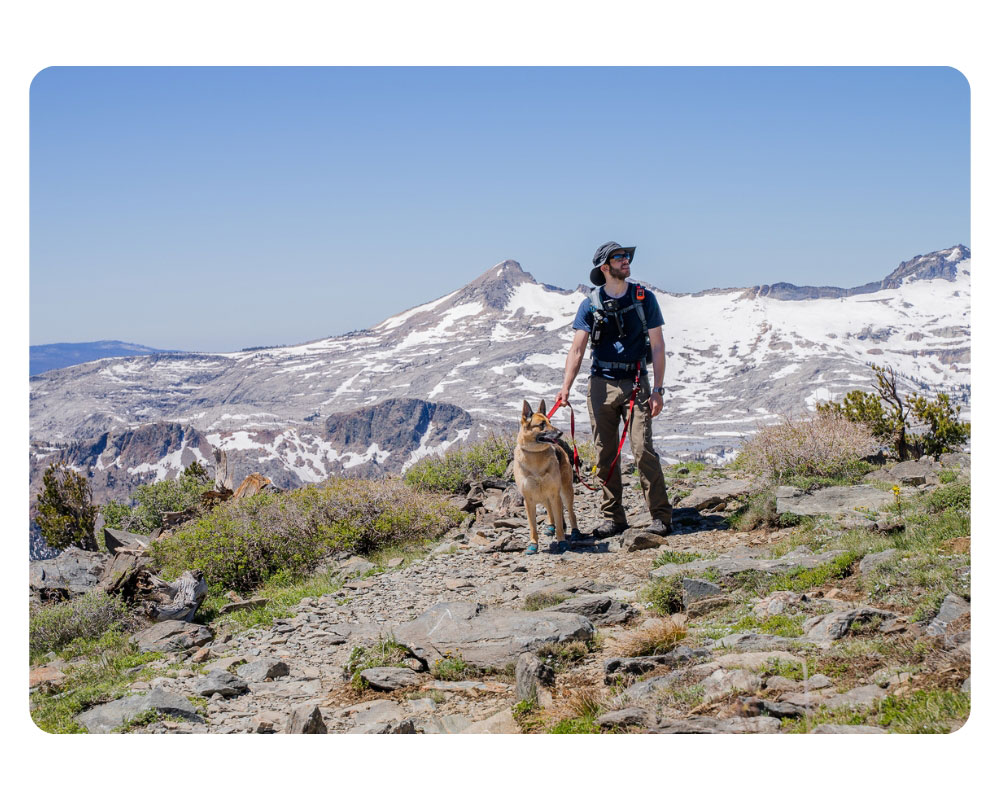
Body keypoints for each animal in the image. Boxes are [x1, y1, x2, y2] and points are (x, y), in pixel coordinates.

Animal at [512, 396, 584, 552]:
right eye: (542, 424)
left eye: (550, 422)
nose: (560, 433)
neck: (535, 455)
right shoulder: (529, 500)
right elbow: (532, 526)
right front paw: (533, 544)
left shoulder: (554, 494)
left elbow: (560, 521)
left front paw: (561, 541)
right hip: (543, 494)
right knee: (550, 510)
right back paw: (551, 526)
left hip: (565, 492)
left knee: (571, 513)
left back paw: (575, 531)